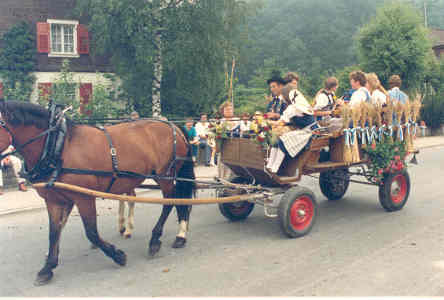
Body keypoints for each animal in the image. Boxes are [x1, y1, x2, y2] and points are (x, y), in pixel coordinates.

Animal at [0, 100, 194, 284]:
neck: (58, 145)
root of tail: (174, 126)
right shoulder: (54, 200)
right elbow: (54, 232)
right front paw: (47, 268)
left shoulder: (84, 197)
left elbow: (91, 232)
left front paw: (118, 255)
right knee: (179, 199)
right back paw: (180, 235)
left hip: (165, 175)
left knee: (170, 202)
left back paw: (156, 240)